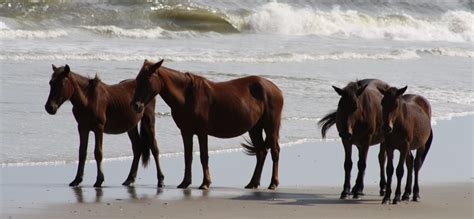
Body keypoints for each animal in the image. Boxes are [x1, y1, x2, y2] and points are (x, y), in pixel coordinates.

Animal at [131, 59, 284, 190]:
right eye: (137, 80)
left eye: (146, 80)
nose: (136, 105)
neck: (187, 96)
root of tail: (275, 89)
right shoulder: (186, 132)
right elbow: (188, 157)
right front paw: (185, 182)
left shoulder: (202, 132)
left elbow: (204, 157)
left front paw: (205, 183)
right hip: (254, 129)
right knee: (261, 152)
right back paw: (253, 183)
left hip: (271, 127)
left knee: (275, 152)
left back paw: (273, 183)